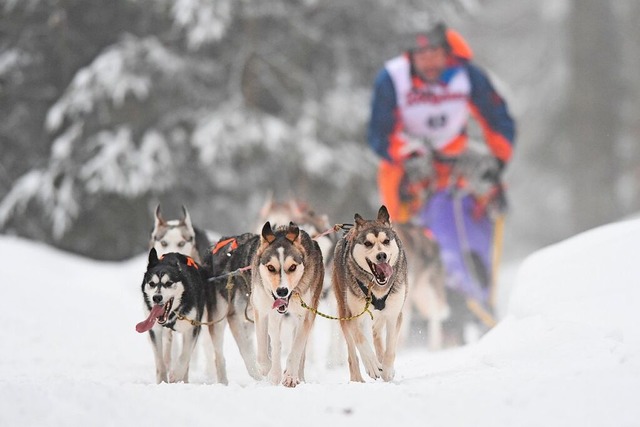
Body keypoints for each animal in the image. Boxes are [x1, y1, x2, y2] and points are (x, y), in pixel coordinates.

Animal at [136, 247, 220, 384]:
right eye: (152, 283)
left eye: (169, 283)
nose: (157, 297)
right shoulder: (155, 330)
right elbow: (159, 361)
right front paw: (162, 381)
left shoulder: (192, 328)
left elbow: (184, 356)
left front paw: (176, 375)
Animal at [249, 222, 322, 390]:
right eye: (271, 267)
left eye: (293, 267)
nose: (282, 291)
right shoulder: (262, 311)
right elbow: (268, 348)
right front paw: (270, 371)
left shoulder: (305, 317)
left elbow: (296, 350)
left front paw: (290, 377)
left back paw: (297, 375)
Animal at [332, 206, 408, 382]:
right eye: (368, 243)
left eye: (386, 241)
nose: (382, 255)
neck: (377, 286)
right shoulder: (353, 316)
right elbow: (361, 339)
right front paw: (372, 365)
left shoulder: (394, 314)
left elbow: (391, 347)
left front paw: (387, 370)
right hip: (343, 312)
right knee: (352, 353)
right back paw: (358, 378)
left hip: (381, 314)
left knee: (376, 332)